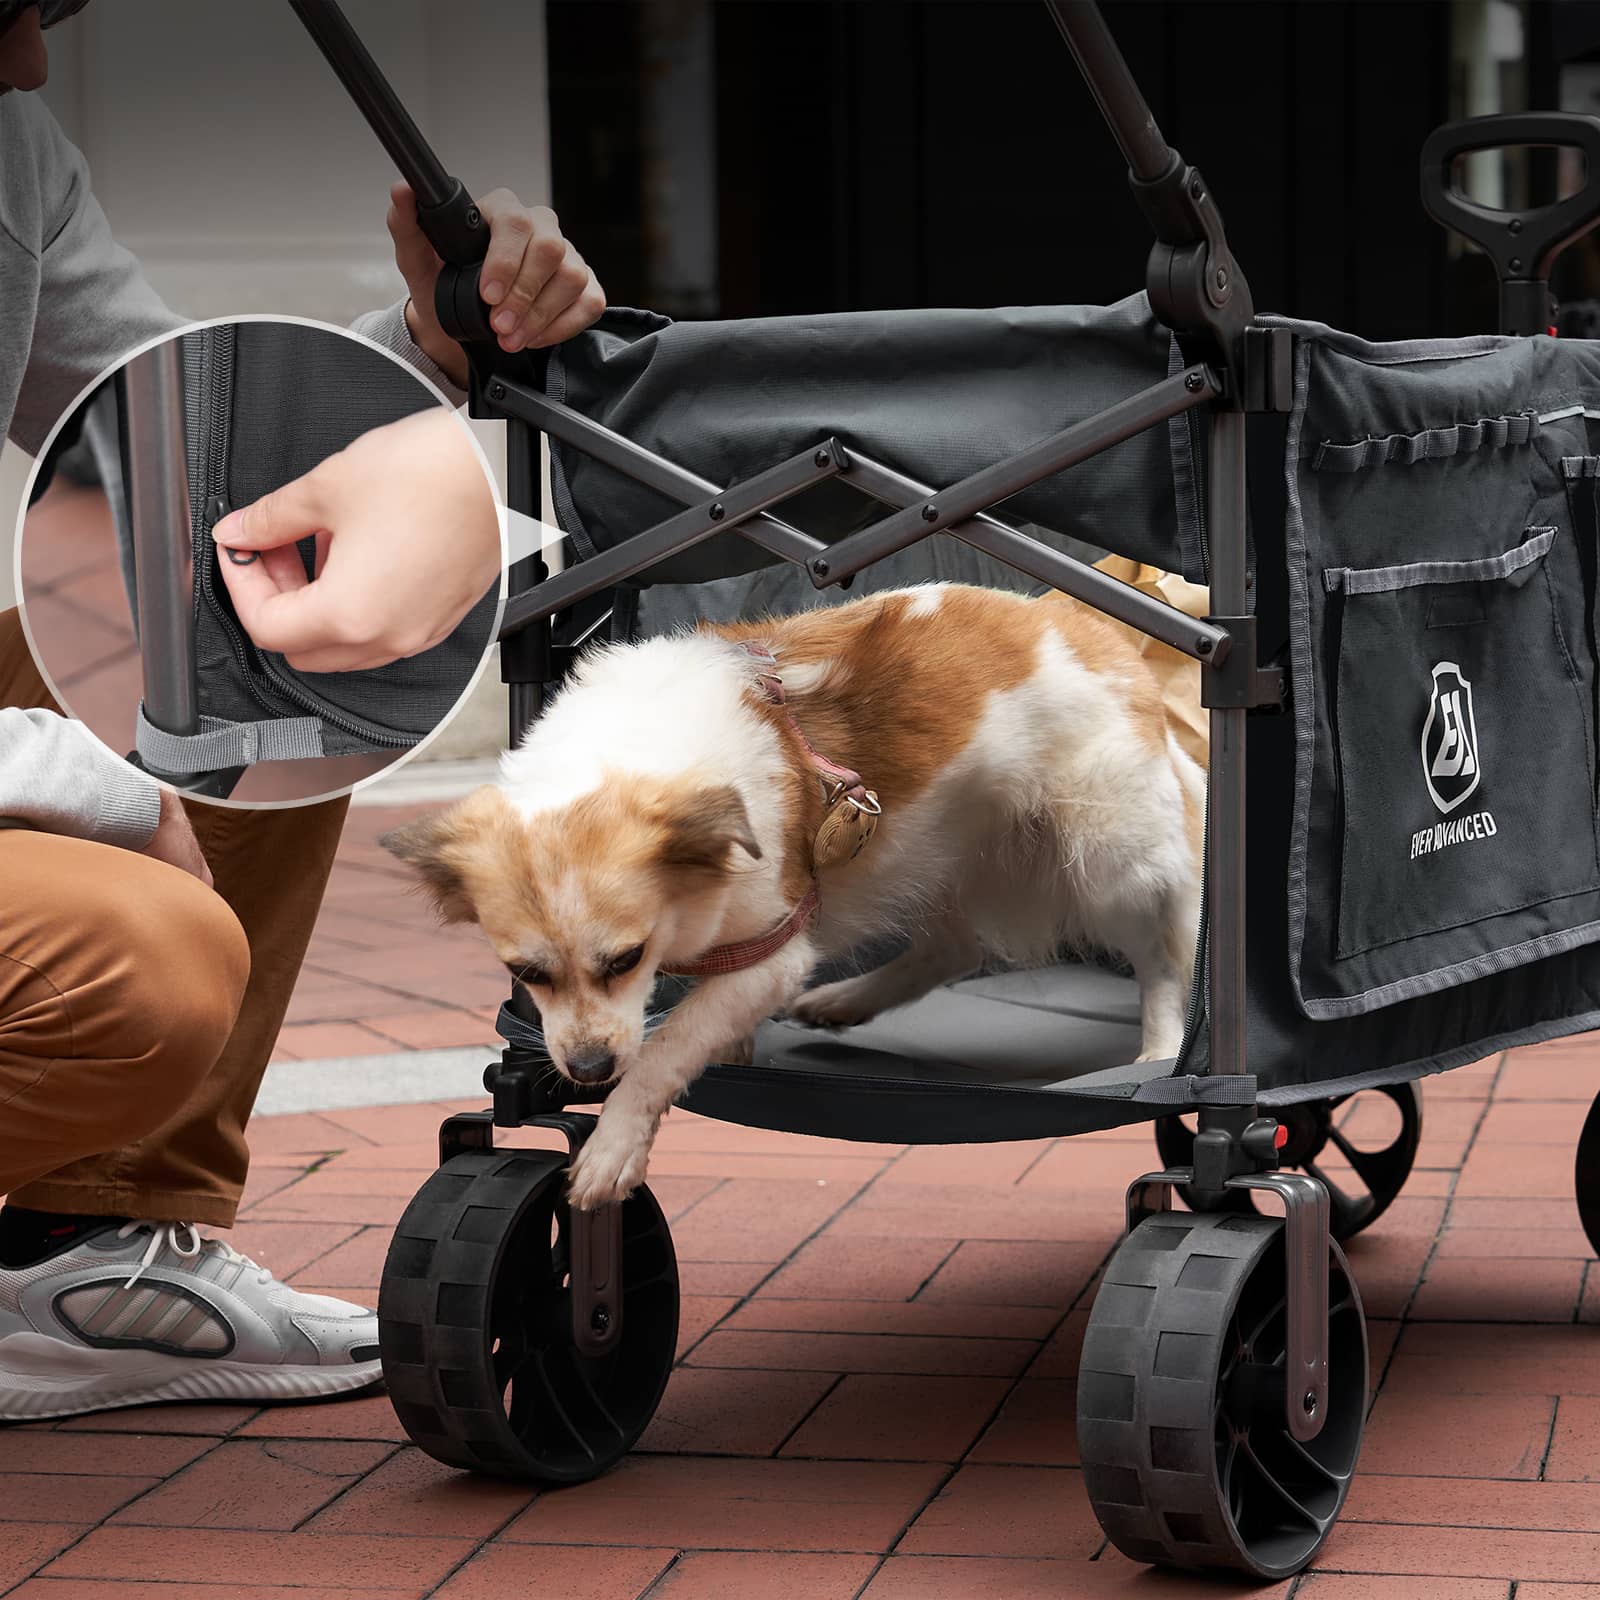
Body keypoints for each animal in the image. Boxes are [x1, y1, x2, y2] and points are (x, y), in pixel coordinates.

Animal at [384, 582, 1203, 1203]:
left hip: (1107, 857)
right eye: (524, 973)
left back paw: (1163, 1050)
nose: (585, 1072)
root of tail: (1084, 623)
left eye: (626, 959)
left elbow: (664, 1049)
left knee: (1164, 953)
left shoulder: (771, 952)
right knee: (953, 946)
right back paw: (846, 1000)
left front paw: (615, 1142)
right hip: (925, 848)